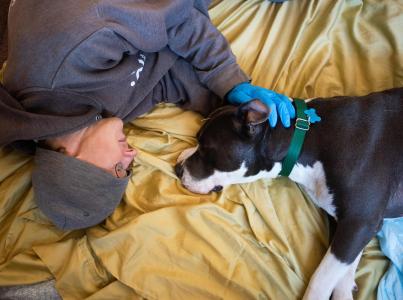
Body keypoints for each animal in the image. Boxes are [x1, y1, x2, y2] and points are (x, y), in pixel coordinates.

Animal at [175, 87, 402, 300]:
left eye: (205, 149)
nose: (177, 168)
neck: (306, 137)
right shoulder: (350, 223)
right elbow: (344, 267)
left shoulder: (359, 221)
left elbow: (322, 278)